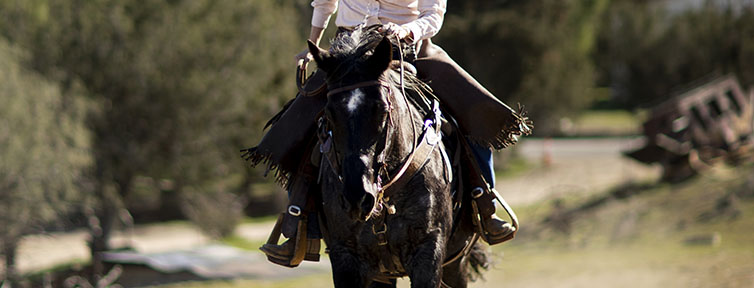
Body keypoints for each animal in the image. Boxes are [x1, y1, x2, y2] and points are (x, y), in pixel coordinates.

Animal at [308, 25, 484, 286]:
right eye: (329, 114)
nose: (357, 197)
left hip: (455, 264)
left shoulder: (428, 253)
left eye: (382, 109)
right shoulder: (345, 257)